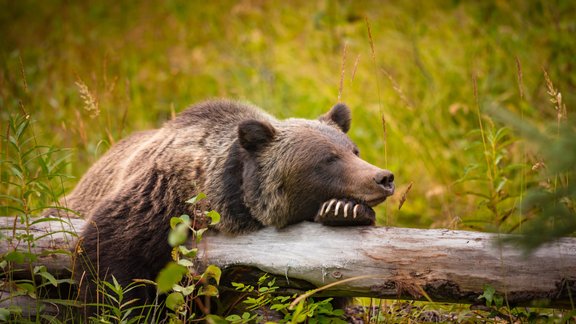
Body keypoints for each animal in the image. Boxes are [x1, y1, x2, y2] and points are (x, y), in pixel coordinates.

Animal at [49, 99, 394, 316]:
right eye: (328, 159)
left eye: (353, 150)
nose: (383, 177)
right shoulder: (159, 198)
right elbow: (109, 256)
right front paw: (123, 308)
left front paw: (344, 211)